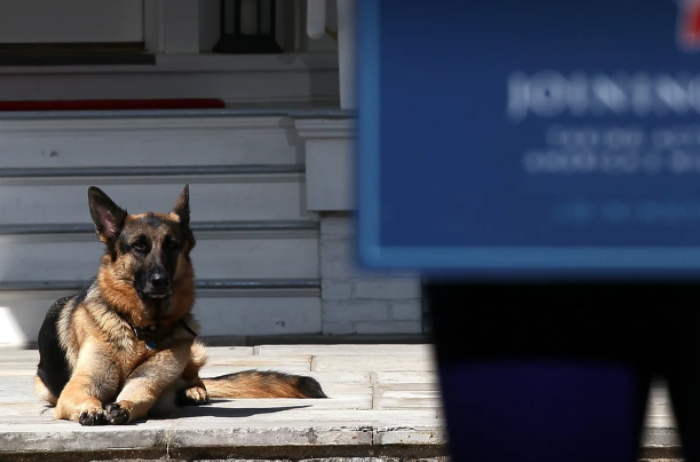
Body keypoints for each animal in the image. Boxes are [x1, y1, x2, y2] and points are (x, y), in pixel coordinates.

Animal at [34, 184, 326, 426]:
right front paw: (91, 408)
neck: (142, 330)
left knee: (195, 378)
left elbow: (140, 394)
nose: (160, 281)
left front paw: (124, 405)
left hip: (193, 350)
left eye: (172, 246)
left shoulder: (148, 382)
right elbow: (86, 396)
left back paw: (193, 391)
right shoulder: (81, 385)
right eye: (139, 247)